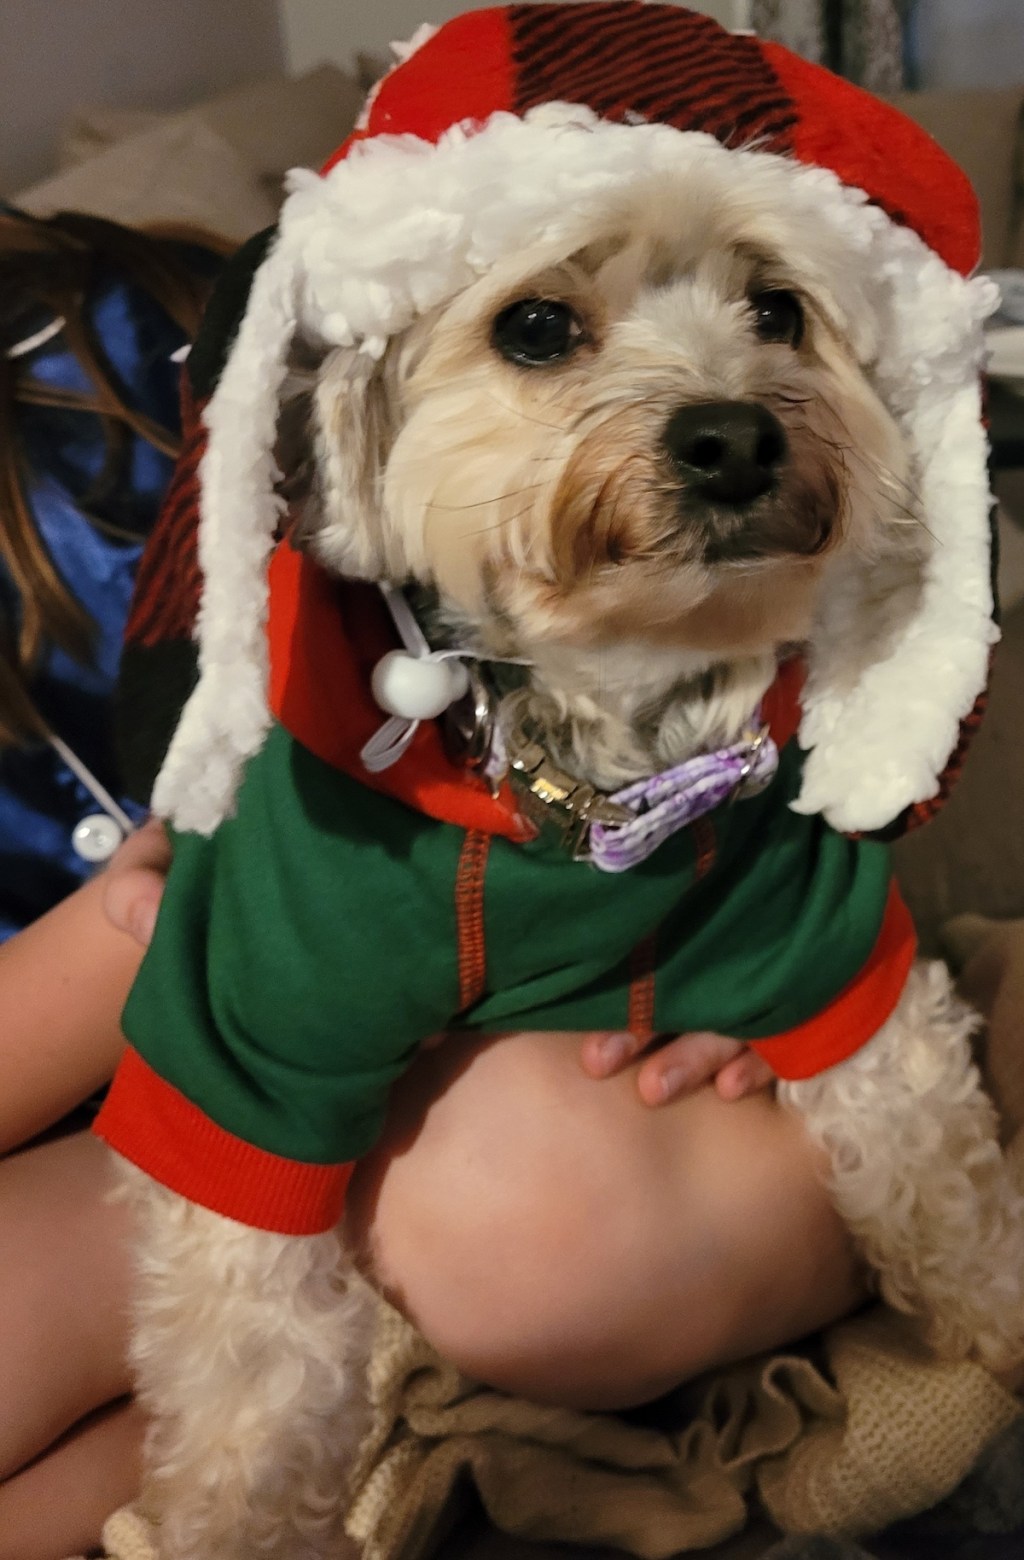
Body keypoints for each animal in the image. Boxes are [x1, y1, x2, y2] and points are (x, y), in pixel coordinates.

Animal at [96, 6, 1023, 1553]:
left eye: (780, 311)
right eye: (535, 326)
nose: (736, 435)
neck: (579, 772)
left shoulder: (830, 954)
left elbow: (936, 1172)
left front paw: (1005, 1317)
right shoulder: (246, 1045)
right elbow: (246, 1377)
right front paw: (228, 1522)